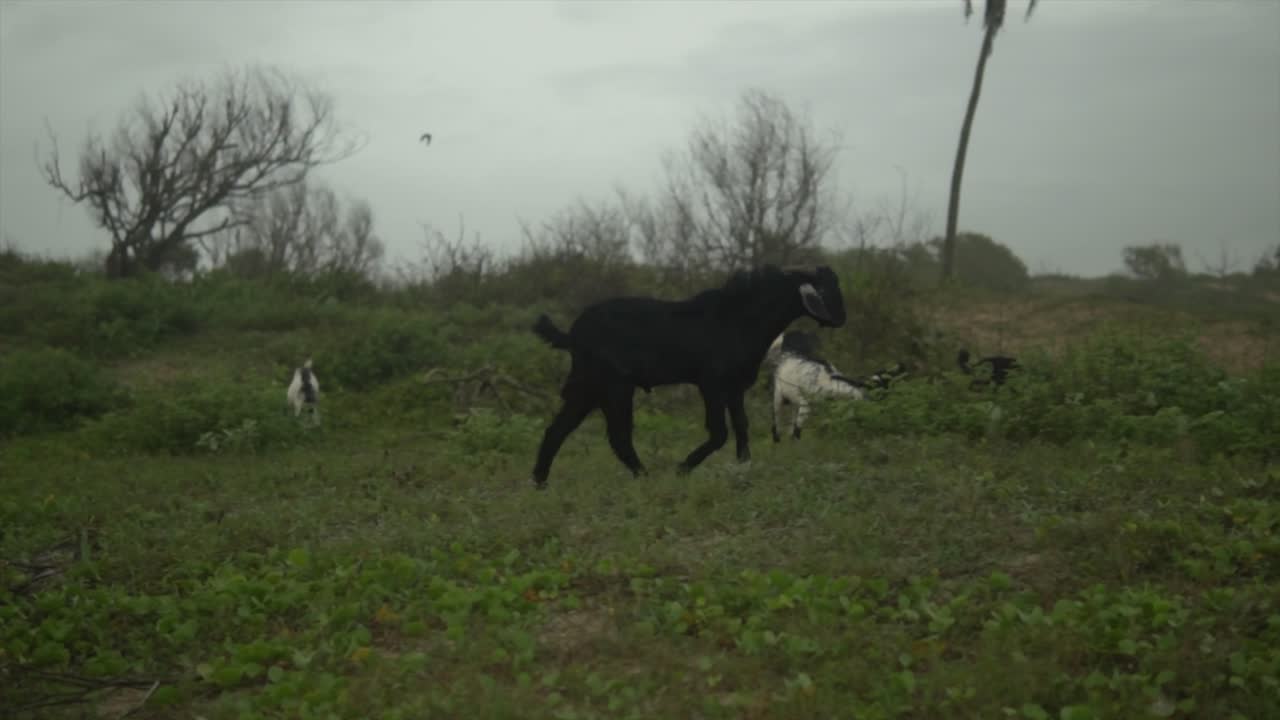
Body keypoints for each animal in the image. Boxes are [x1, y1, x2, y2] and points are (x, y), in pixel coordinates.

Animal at [529, 265, 847, 488]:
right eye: (825, 288)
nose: (842, 319)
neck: (741, 317)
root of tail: (572, 334)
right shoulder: (711, 384)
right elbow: (719, 432)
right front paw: (682, 469)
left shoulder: (735, 387)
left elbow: (742, 426)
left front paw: (743, 465)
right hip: (613, 387)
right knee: (617, 436)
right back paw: (645, 478)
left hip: (590, 389)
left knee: (559, 430)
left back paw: (540, 482)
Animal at [767, 331, 906, 441]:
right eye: (878, 389)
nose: (882, 410)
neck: (827, 382)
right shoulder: (805, 405)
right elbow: (797, 430)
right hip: (779, 396)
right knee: (776, 423)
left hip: (793, 401)